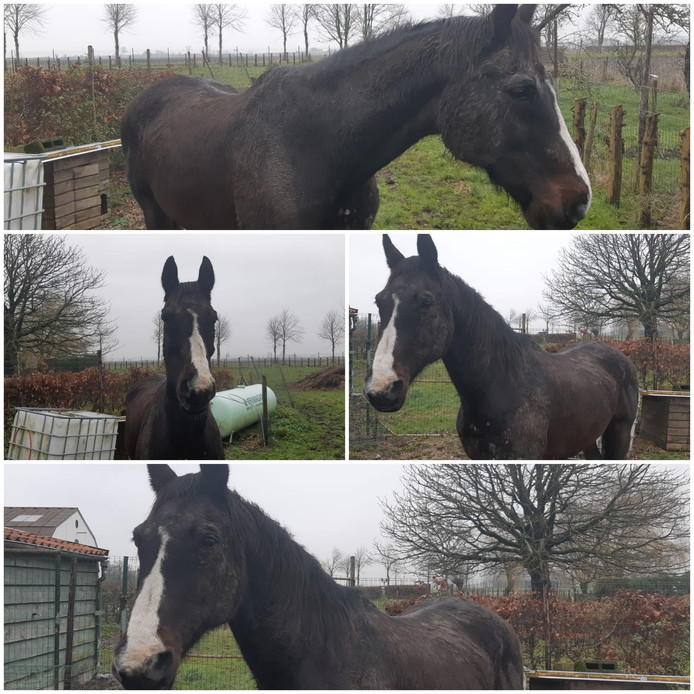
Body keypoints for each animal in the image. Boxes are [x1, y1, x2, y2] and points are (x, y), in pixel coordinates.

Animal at [364, 235, 640, 462]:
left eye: (427, 302)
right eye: (378, 301)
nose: (381, 389)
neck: (502, 387)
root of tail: (622, 357)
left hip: (619, 433)